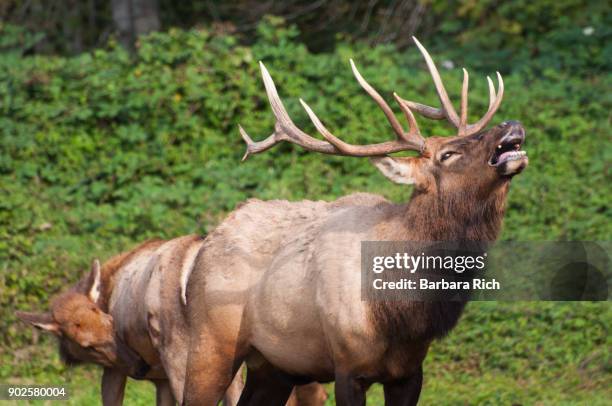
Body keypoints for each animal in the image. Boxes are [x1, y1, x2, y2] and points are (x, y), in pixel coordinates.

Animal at [184, 36, 528, 404]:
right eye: (447, 154)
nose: (510, 124)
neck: (398, 313)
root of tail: (209, 239)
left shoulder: (410, 371)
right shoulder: (348, 367)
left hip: (274, 365)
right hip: (209, 343)